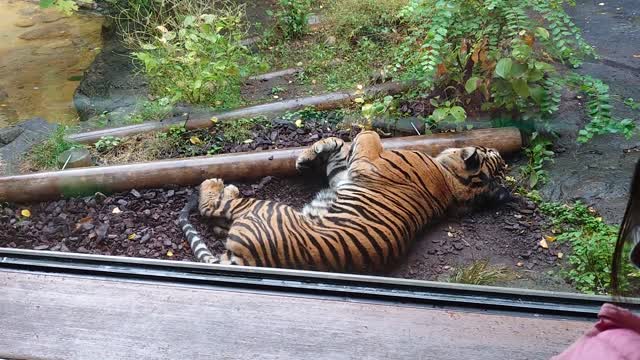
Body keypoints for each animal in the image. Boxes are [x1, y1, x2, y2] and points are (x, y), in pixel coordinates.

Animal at [178, 130, 508, 272]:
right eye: (495, 155)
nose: (497, 150)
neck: (453, 184)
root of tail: (249, 261)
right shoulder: (341, 175)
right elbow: (337, 145)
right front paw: (308, 155)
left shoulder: (364, 165)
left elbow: (369, 134)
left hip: (264, 208)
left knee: (215, 207)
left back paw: (216, 184)